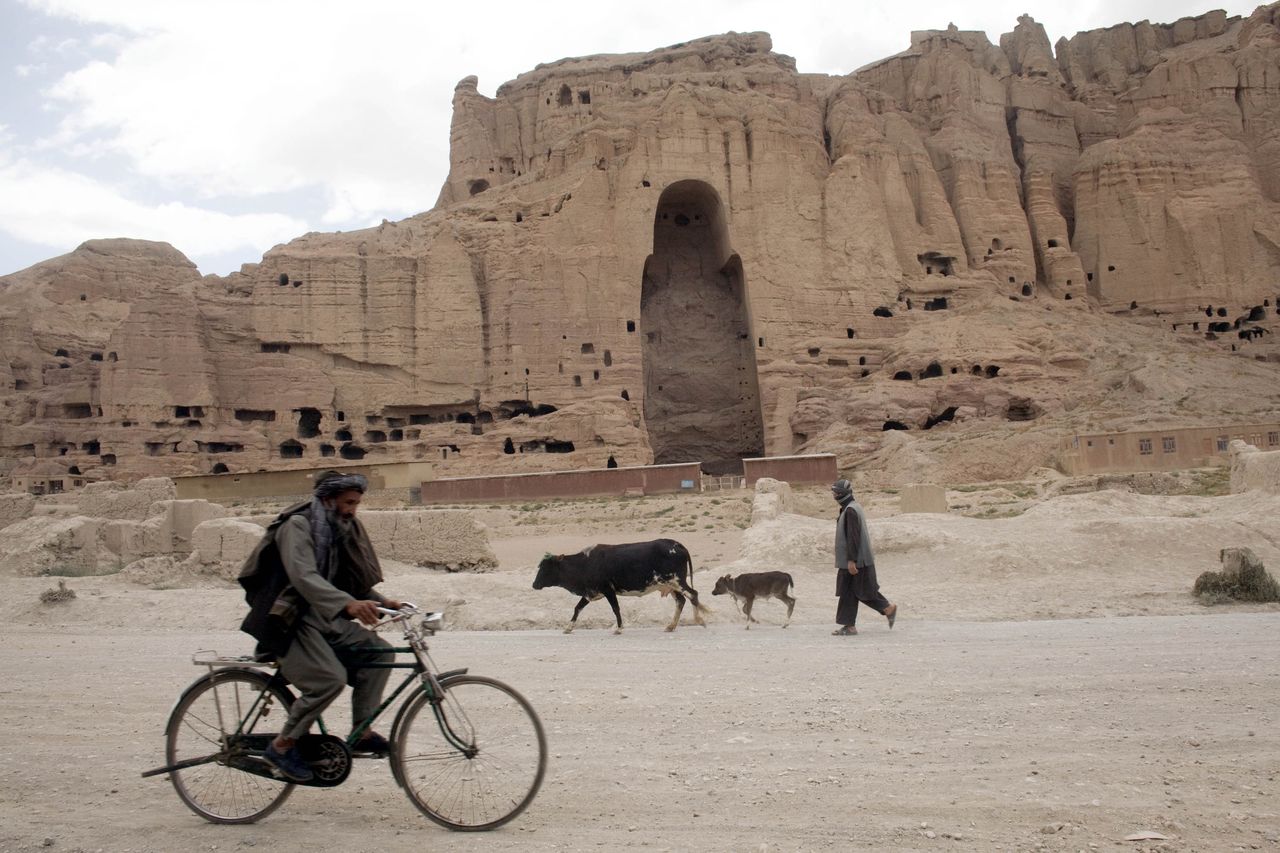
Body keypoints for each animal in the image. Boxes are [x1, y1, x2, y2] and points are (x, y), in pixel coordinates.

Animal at [532, 537, 711, 630]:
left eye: (545, 568)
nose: (534, 585)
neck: (586, 563)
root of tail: (676, 544)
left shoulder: (607, 589)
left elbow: (615, 608)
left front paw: (619, 628)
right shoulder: (591, 592)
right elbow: (578, 608)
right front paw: (568, 628)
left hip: (677, 581)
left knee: (693, 595)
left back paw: (699, 620)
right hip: (671, 584)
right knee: (681, 601)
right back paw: (671, 626)